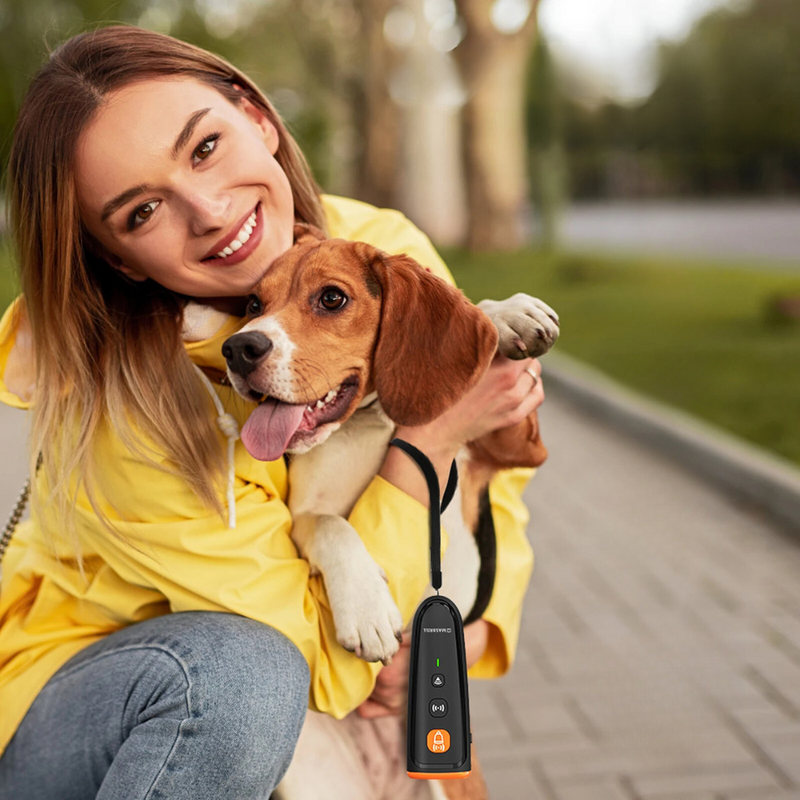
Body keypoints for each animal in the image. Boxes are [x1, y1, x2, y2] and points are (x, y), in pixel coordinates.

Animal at [217, 225, 556, 800]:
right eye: (253, 304)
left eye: (332, 298)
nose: (239, 348)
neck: (376, 421)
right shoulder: (304, 514)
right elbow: (333, 527)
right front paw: (367, 610)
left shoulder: (518, 446)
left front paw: (506, 315)